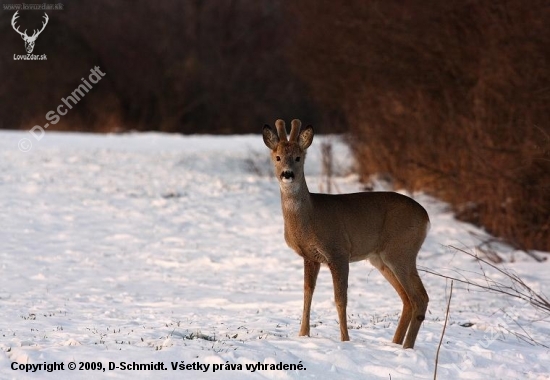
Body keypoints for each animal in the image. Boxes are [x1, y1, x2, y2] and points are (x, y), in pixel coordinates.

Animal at [264, 119, 432, 348]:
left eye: (298, 157)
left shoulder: (338, 252)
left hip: (401, 251)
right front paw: (303, 335)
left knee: (420, 297)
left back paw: (406, 347)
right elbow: (307, 293)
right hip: (380, 259)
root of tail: (426, 218)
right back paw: (395, 343)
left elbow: (340, 299)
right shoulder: (310, 256)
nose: (287, 174)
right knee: (407, 298)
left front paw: (345, 339)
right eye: (278, 157)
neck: (310, 216)